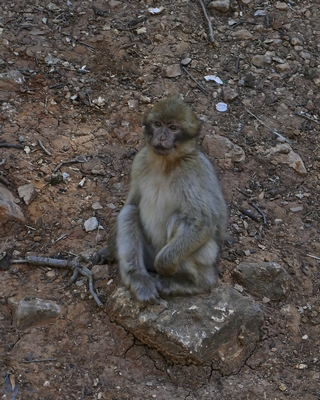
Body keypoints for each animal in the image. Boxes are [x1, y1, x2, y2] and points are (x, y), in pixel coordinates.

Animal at [92, 96, 228, 304]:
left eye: (172, 128)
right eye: (158, 124)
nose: (162, 137)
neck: (165, 163)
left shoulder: (191, 170)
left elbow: (202, 221)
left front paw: (165, 267)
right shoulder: (139, 161)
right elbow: (131, 203)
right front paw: (108, 251)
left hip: (206, 257)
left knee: (182, 219)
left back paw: (190, 282)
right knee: (129, 212)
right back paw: (138, 278)